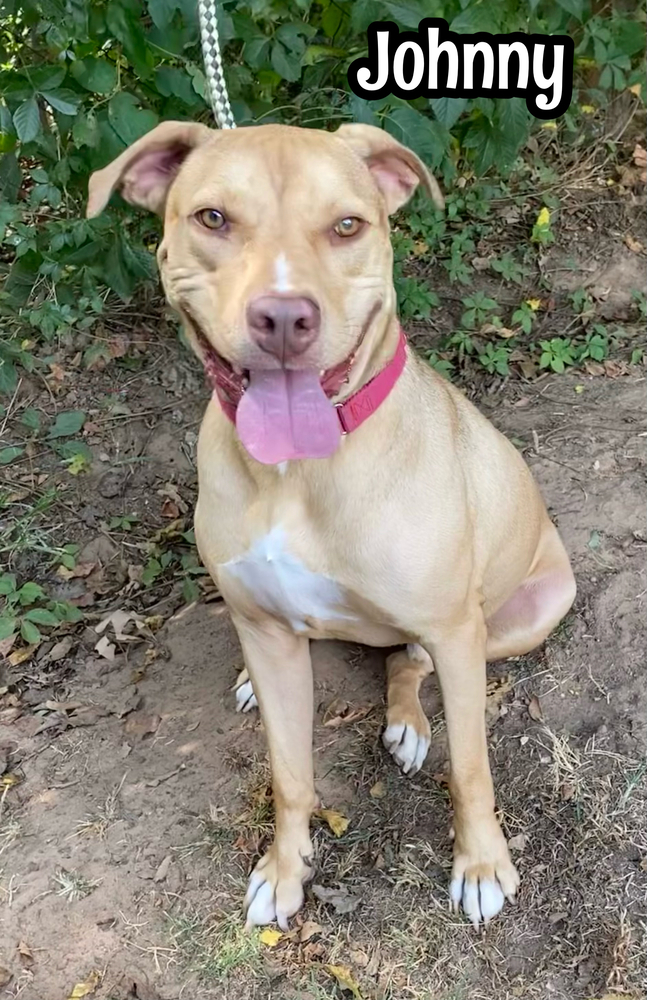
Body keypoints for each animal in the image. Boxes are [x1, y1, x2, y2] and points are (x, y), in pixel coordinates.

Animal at [87, 121, 576, 932]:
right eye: (213, 218)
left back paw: (408, 723)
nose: (285, 318)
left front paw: (481, 865)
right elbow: (290, 776)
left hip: (525, 612)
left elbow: (470, 766)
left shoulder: (454, 631)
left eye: (347, 226)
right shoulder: (264, 631)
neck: (296, 475)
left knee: (407, 660)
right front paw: (286, 871)